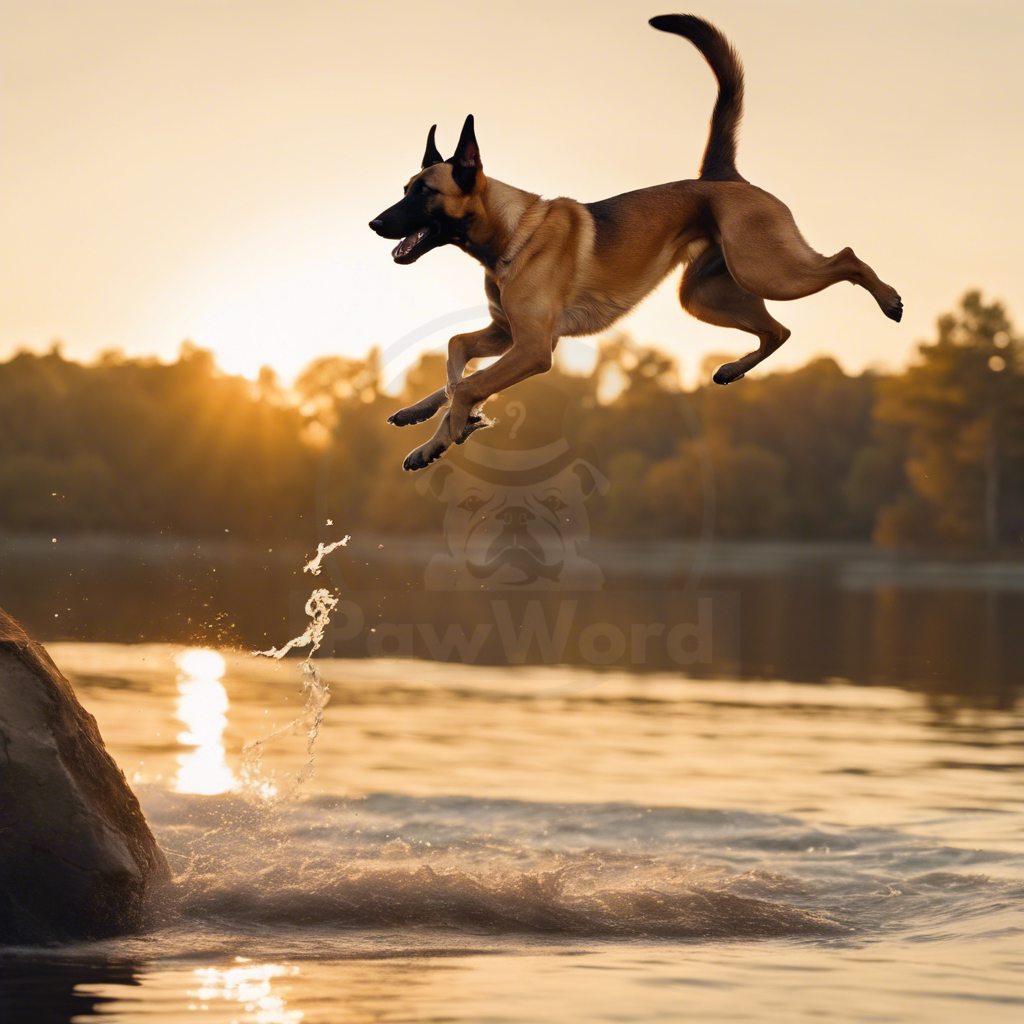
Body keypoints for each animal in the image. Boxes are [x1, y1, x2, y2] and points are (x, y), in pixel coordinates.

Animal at [370, 14, 905, 468]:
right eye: (405, 188)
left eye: (424, 192)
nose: (374, 225)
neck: (511, 233)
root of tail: (721, 177)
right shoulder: (505, 334)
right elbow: (456, 354)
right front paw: (432, 418)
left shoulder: (533, 347)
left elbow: (467, 383)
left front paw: (444, 436)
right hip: (704, 294)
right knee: (778, 331)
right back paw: (732, 371)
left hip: (768, 270)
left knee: (846, 260)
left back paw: (889, 300)